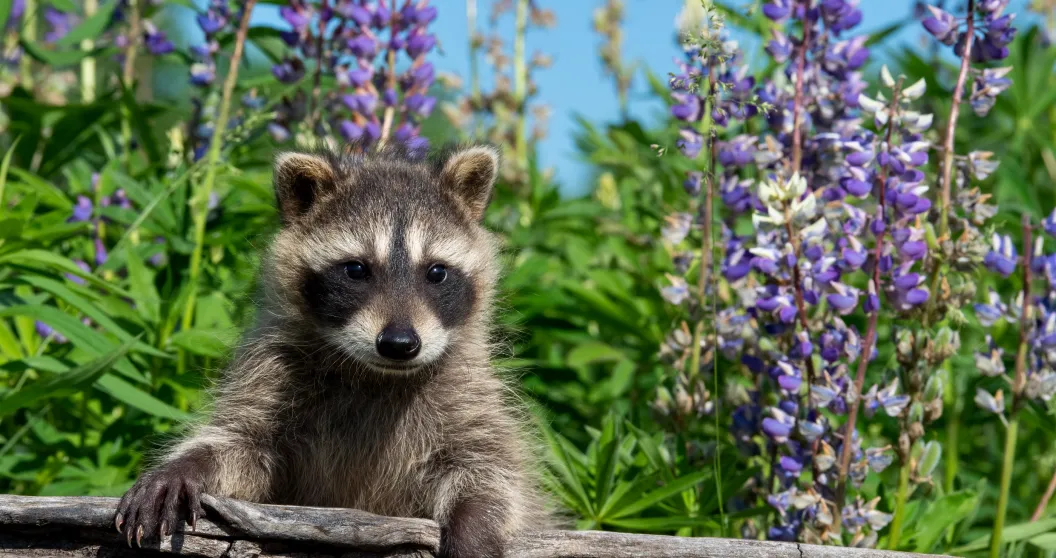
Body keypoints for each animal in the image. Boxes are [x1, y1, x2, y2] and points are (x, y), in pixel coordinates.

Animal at [114, 143, 553, 557]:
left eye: (436, 272)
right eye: (356, 269)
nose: (399, 344)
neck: (375, 374)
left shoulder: (466, 388)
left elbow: (491, 468)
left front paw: (476, 522)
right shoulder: (273, 371)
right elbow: (240, 442)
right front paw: (186, 465)